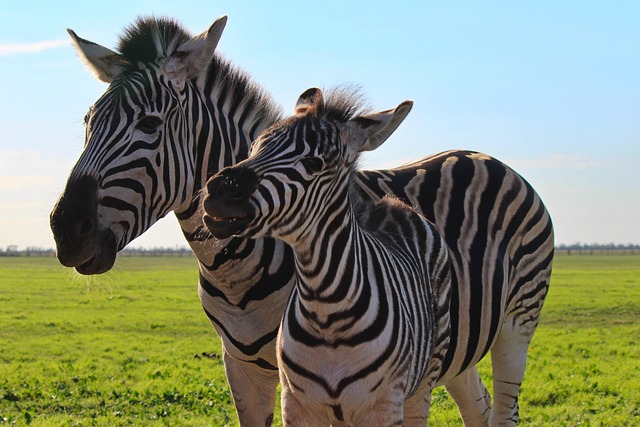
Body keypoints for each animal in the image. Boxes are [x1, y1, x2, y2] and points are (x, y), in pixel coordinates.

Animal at [202, 88, 452, 426]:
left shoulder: (383, 405)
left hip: (423, 380)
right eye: (253, 148)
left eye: (313, 162)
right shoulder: (296, 402)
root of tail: (393, 205)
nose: (216, 191)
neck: (326, 312)